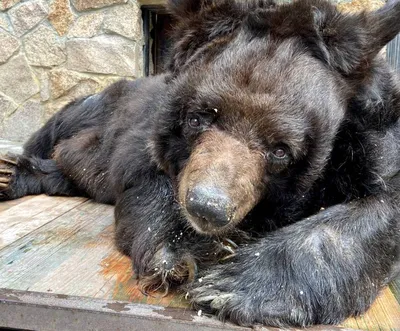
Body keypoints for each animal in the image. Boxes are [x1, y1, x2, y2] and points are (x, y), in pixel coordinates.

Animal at [0, 0, 400, 328]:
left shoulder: (376, 138)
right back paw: (10, 173)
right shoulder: (147, 130)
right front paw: (191, 250)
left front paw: (234, 285)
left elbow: (379, 207)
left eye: (280, 150)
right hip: (91, 107)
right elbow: (148, 174)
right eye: (198, 118)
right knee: (60, 138)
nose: (208, 208)